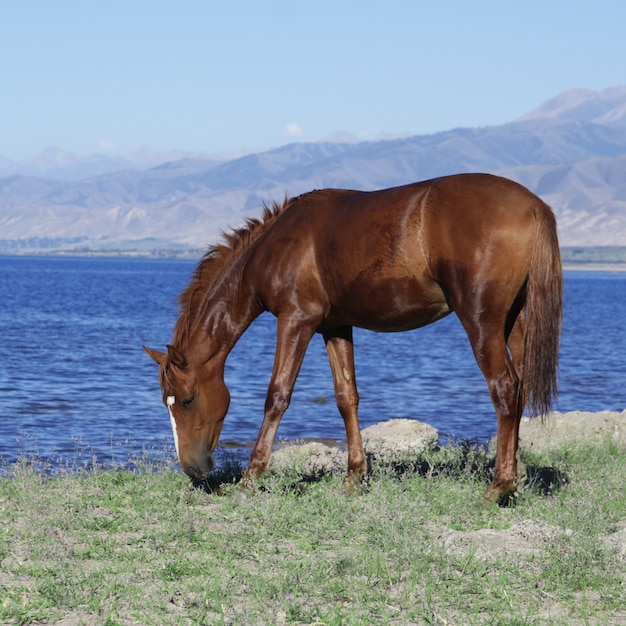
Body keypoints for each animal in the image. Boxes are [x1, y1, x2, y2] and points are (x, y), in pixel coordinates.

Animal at [145, 172, 560, 502]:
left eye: (186, 400)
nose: (193, 469)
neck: (272, 246)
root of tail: (534, 205)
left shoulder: (296, 320)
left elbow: (277, 396)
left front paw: (250, 478)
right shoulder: (335, 327)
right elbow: (347, 398)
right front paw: (354, 477)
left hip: (481, 320)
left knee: (504, 387)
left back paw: (498, 486)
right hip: (514, 321)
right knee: (519, 388)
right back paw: (516, 474)